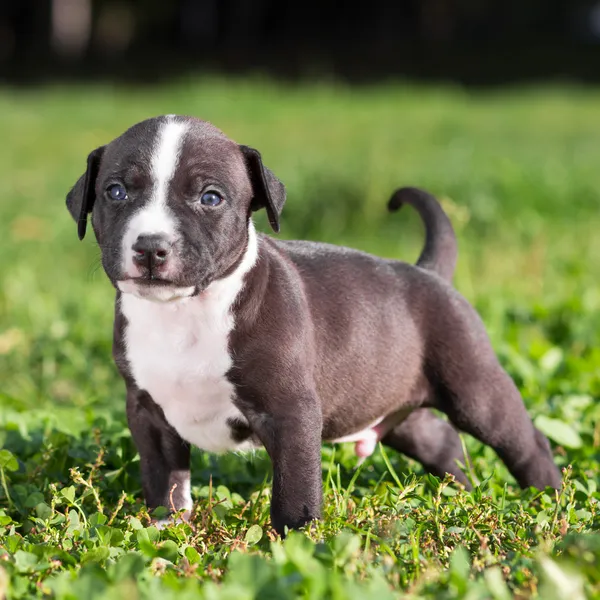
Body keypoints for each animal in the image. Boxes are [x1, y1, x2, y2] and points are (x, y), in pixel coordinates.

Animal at [67, 116, 564, 536]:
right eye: (115, 192)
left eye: (210, 197)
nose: (151, 247)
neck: (185, 312)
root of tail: (428, 272)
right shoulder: (148, 413)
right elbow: (165, 481)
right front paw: (165, 533)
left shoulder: (291, 413)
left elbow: (295, 487)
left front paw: (298, 544)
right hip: (390, 399)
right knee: (441, 440)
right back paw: (460, 494)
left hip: (474, 388)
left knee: (526, 441)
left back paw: (551, 500)